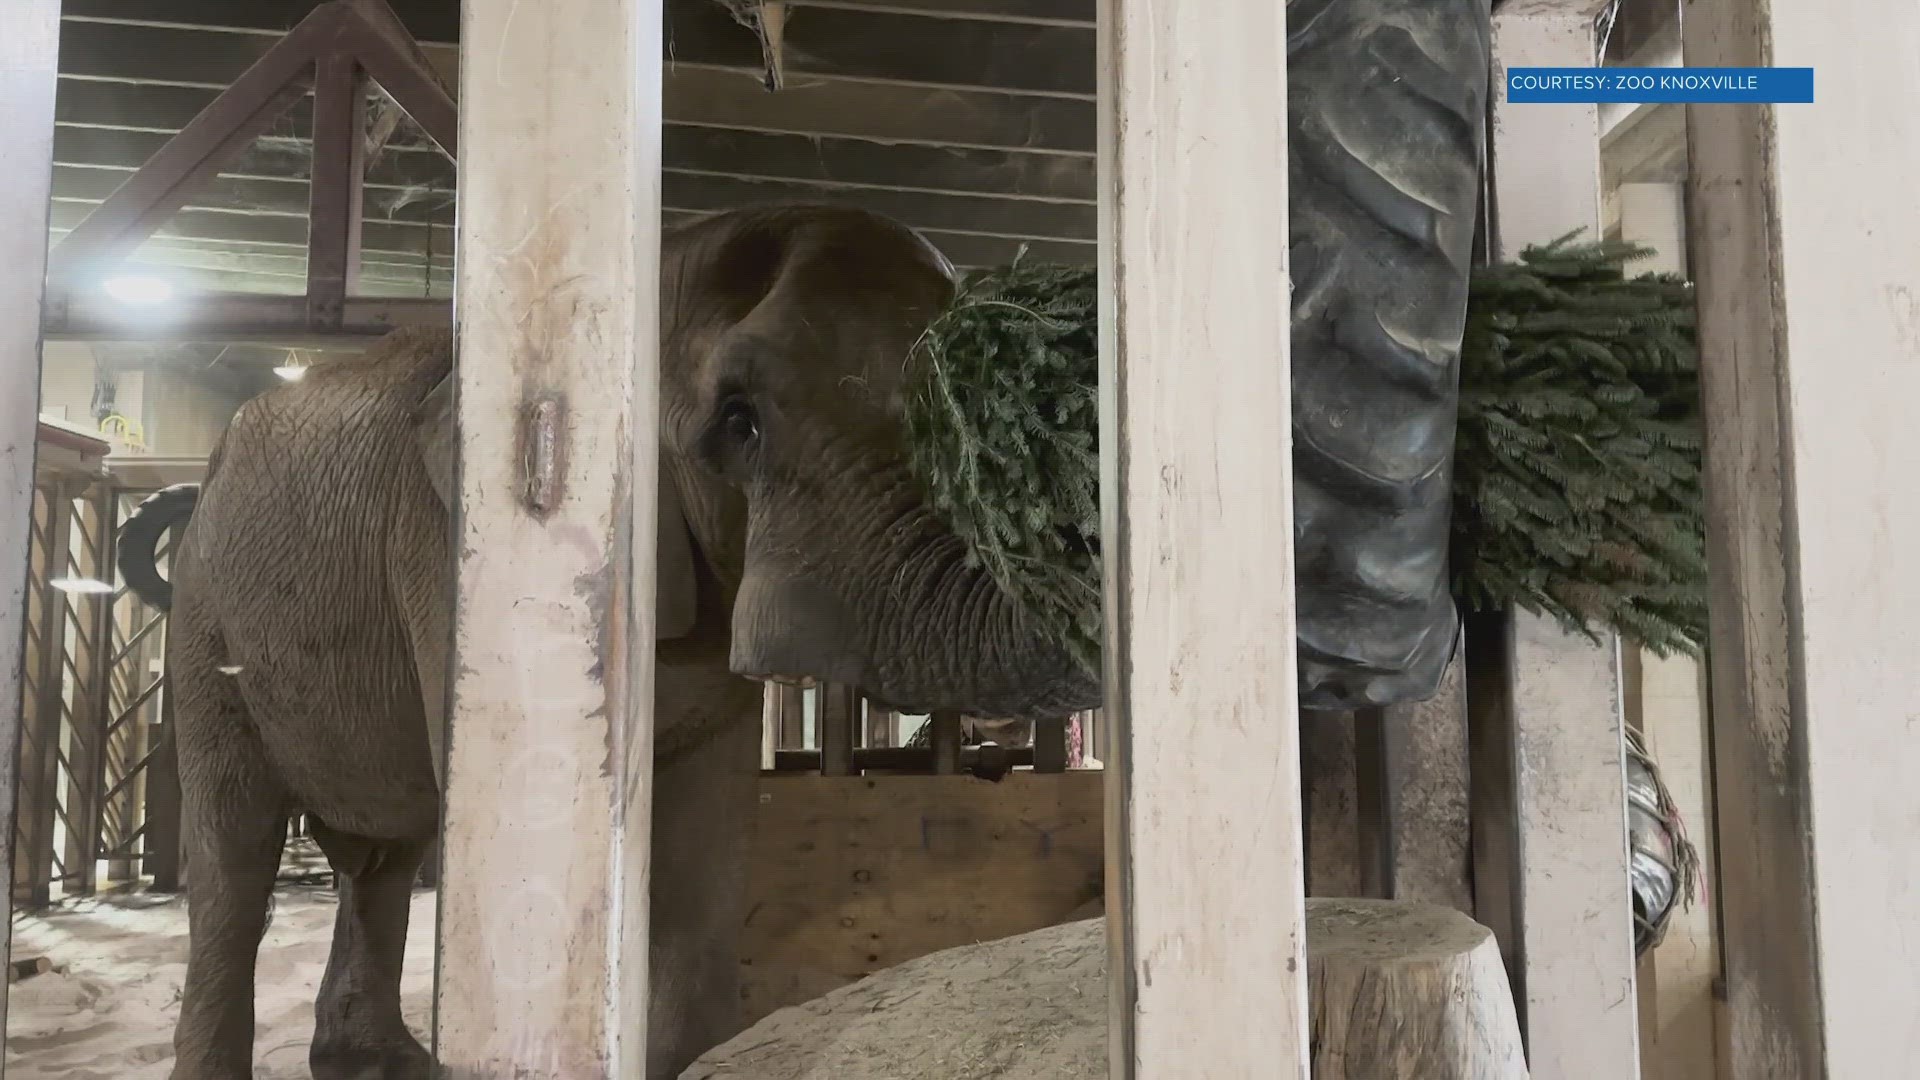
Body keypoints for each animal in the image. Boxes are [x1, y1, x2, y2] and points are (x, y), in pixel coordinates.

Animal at [120, 203, 1105, 1076]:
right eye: (739, 422)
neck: (663, 255)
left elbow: (707, 846)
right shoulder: (453, 553)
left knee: (381, 853)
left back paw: (375, 1063)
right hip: (206, 621)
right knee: (236, 860)